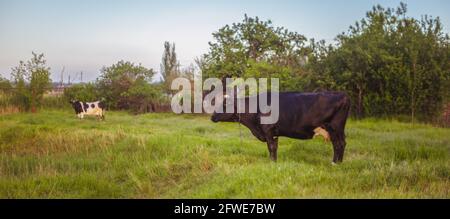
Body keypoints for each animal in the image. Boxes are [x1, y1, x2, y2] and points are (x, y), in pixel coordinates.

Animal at [211, 91, 352, 163]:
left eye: (225, 105)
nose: (212, 116)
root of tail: (342, 95)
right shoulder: (275, 133)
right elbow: (275, 148)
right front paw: (275, 161)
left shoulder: (268, 130)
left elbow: (271, 147)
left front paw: (272, 163)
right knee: (339, 144)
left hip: (335, 127)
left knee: (339, 144)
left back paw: (336, 163)